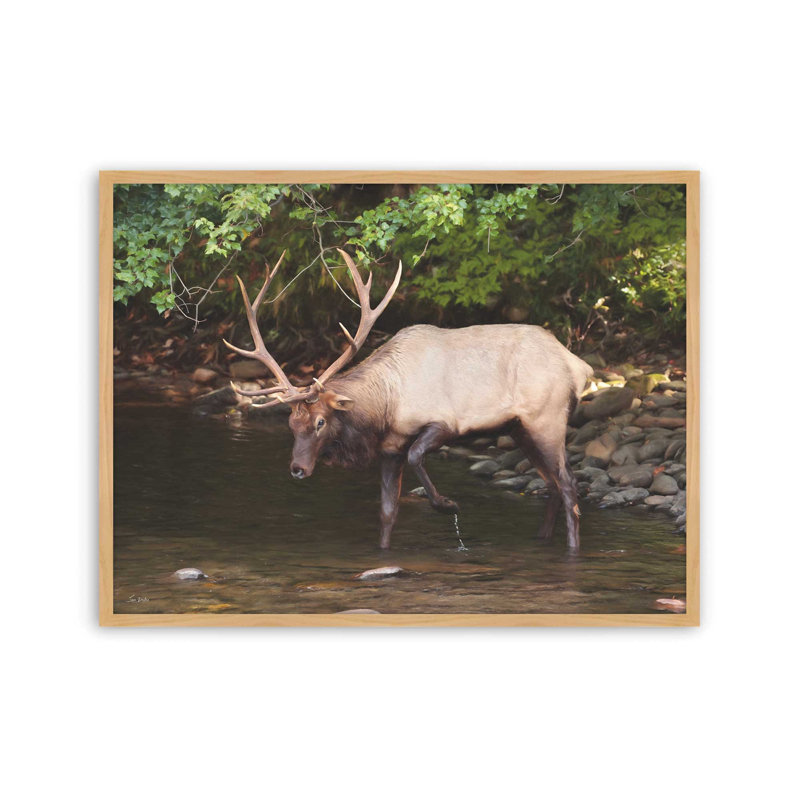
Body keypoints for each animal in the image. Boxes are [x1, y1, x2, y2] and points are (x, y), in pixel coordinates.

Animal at [224, 250, 593, 552]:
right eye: (291, 424)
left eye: (320, 422)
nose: (298, 469)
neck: (386, 408)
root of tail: (580, 366)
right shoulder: (390, 448)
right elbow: (388, 511)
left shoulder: (444, 422)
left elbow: (418, 456)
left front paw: (449, 505)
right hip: (520, 429)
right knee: (551, 485)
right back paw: (541, 539)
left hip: (547, 419)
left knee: (568, 483)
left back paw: (573, 548)